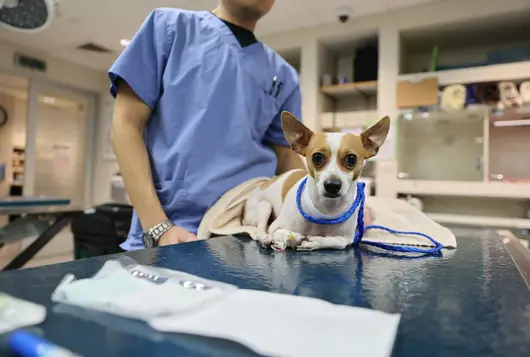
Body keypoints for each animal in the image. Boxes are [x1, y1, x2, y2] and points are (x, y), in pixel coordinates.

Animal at [242, 111, 388, 250]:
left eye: (351, 159)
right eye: (317, 157)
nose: (332, 185)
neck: (326, 211)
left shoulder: (348, 238)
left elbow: (338, 242)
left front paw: (316, 241)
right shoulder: (275, 226)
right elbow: (279, 231)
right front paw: (293, 237)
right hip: (264, 207)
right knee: (260, 227)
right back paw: (264, 237)